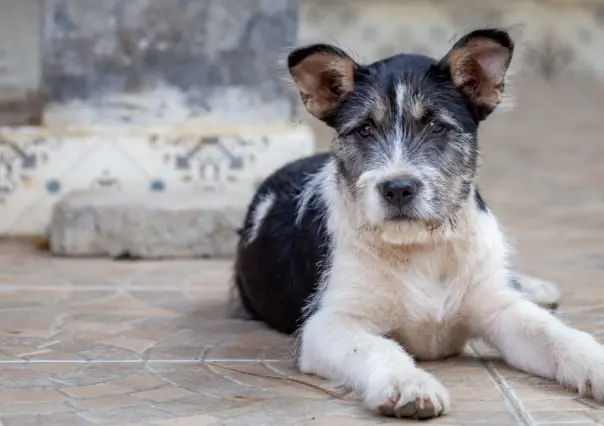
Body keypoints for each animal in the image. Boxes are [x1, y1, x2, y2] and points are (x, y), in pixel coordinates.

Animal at [232, 29, 604, 420]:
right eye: (365, 130)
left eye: (437, 126)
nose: (398, 188)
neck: (423, 247)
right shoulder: (329, 323)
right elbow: (379, 348)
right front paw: (408, 384)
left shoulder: (501, 309)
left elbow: (555, 334)